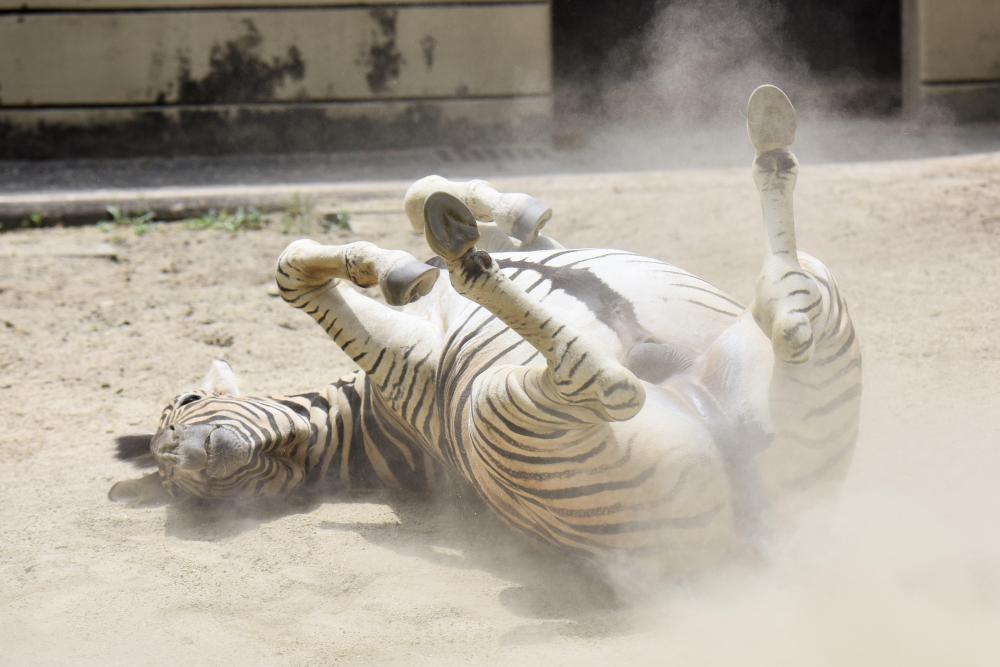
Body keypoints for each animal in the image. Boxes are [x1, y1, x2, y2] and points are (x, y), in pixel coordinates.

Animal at [111, 85, 860, 576]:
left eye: (186, 404)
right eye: (178, 489)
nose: (190, 455)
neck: (365, 426)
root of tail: (754, 537)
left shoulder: (523, 261)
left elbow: (414, 194)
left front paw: (444, 235)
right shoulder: (414, 365)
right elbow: (293, 270)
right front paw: (407, 262)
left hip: (801, 347)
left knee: (788, 307)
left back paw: (772, 153)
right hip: (500, 409)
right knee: (606, 384)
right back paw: (470, 265)